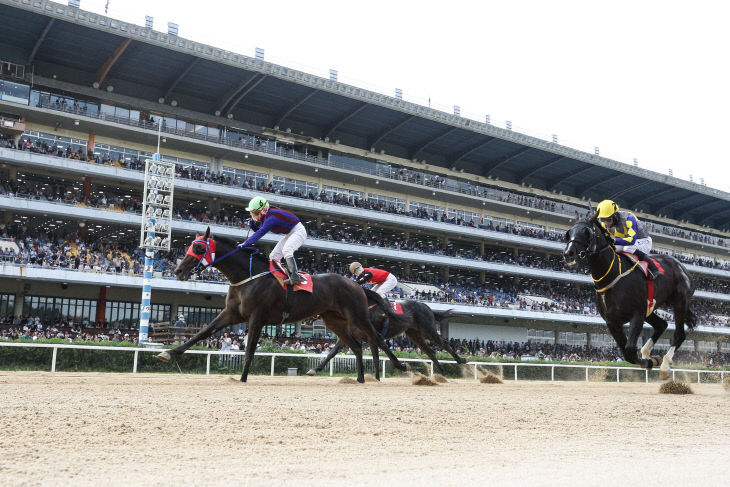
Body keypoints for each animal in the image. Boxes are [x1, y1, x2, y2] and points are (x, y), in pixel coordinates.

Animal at [156, 229, 406, 386]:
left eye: (198, 248)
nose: (178, 271)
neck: (247, 277)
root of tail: (355, 284)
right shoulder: (231, 314)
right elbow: (202, 332)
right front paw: (168, 352)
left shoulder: (257, 317)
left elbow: (249, 350)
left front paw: (242, 378)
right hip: (333, 320)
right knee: (355, 346)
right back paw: (361, 378)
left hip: (357, 315)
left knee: (376, 340)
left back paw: (400, 367)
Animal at [306, 290, 466, 378]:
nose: (307, 319)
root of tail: (426, 307)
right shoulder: (352, 336)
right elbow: (332, 352)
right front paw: (314, 369)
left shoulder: (374, 336)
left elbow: (382, 355)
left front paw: (401, 367)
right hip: (414, 335)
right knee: (431, 352)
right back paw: (441, 374)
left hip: (428, 330)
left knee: (444, 344)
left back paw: (460, 360)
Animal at [560, 215, 696, 380]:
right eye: (568, 233)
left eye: (587, 232)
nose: (569, 253)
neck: (612, 275)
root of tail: (682, 268)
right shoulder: (612, 322)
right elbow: (626, 353)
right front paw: (650, 360)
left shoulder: (637, 314)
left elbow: (630, 349)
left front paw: (652, 361)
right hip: (649, 308)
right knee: (662, 324)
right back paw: (647, 352)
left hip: (679, 303)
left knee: (679, 334)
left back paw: (664, 365)